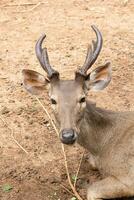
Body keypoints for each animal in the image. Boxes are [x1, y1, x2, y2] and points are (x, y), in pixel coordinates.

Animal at [22, 25, 134, 200]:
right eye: (52, 100)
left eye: (82, 98)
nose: (68, 135)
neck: (102, 148)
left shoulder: (128, 176)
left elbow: (92, 190)